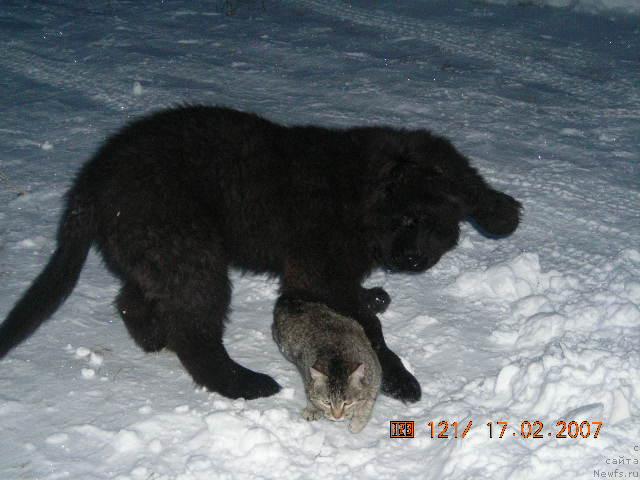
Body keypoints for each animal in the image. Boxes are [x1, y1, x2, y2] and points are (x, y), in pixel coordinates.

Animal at [0, 107, 520, 404]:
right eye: (407, 219)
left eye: (440, 223)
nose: (413, 261)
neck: (359, 195)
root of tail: (91, 180)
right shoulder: (318, 271)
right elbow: (368, 330)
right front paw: (398, 377)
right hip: (192, 252)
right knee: (194, 336)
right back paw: (243, 383)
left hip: (158, 251)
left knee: (133, 297)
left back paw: (151, 337)